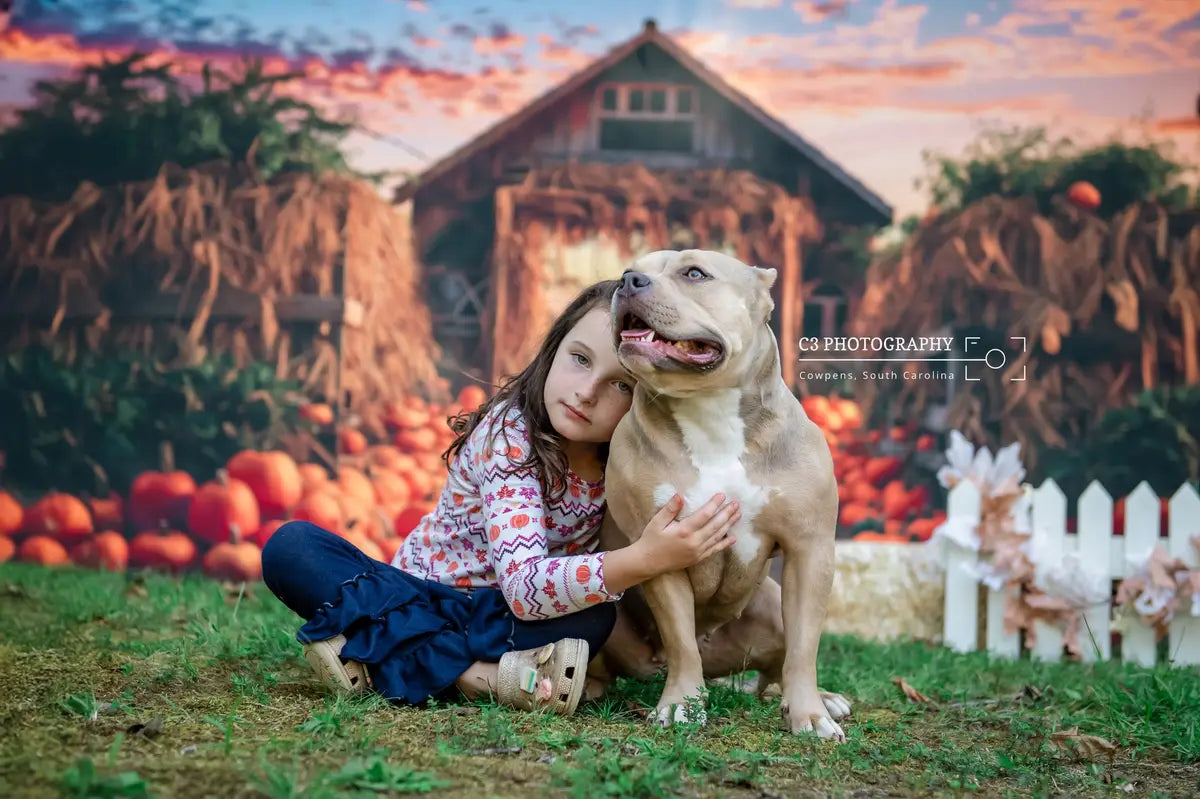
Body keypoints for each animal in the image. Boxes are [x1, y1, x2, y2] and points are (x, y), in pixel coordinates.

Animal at [595, 249, 849, 739]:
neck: (708, 411)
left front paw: (809, 713)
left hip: (769, 606)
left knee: (777, 667)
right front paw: (681, 704)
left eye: (694, 273)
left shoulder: (809, 549)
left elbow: (805, 646)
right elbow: (680, 640)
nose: (627, 281)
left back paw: (823, 698)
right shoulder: (660, 548)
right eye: (632, 269)